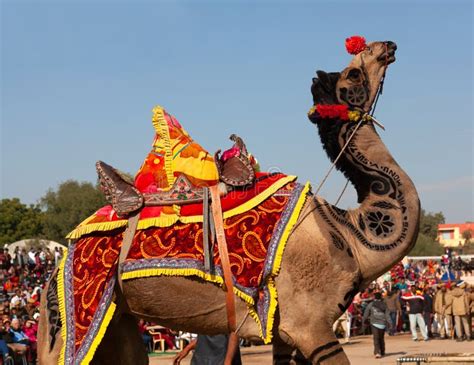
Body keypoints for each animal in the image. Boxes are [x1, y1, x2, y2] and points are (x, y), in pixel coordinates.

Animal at [39, 38, 420, 362]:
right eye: (353, 73)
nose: (388, 46)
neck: (347, 232)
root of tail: (58, 264)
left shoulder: (284, 330)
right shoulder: (310, 324)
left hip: (117, 321)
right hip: (70, 321)